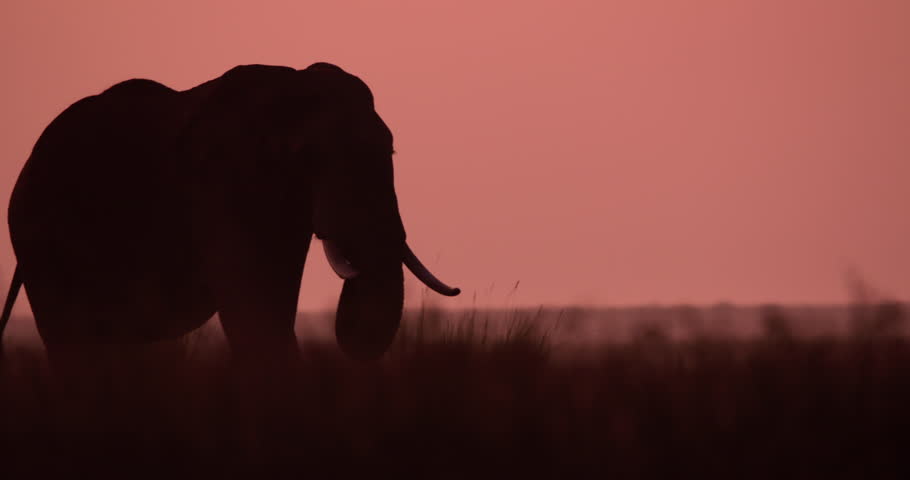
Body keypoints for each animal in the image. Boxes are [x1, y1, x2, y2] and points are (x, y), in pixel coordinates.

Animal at [0, 62, 460, 364]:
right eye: (309, 158)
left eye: (391, 152)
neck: (287, 86)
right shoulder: (220, 186)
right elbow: (253, 310)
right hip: (38, 237)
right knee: (73, 342)